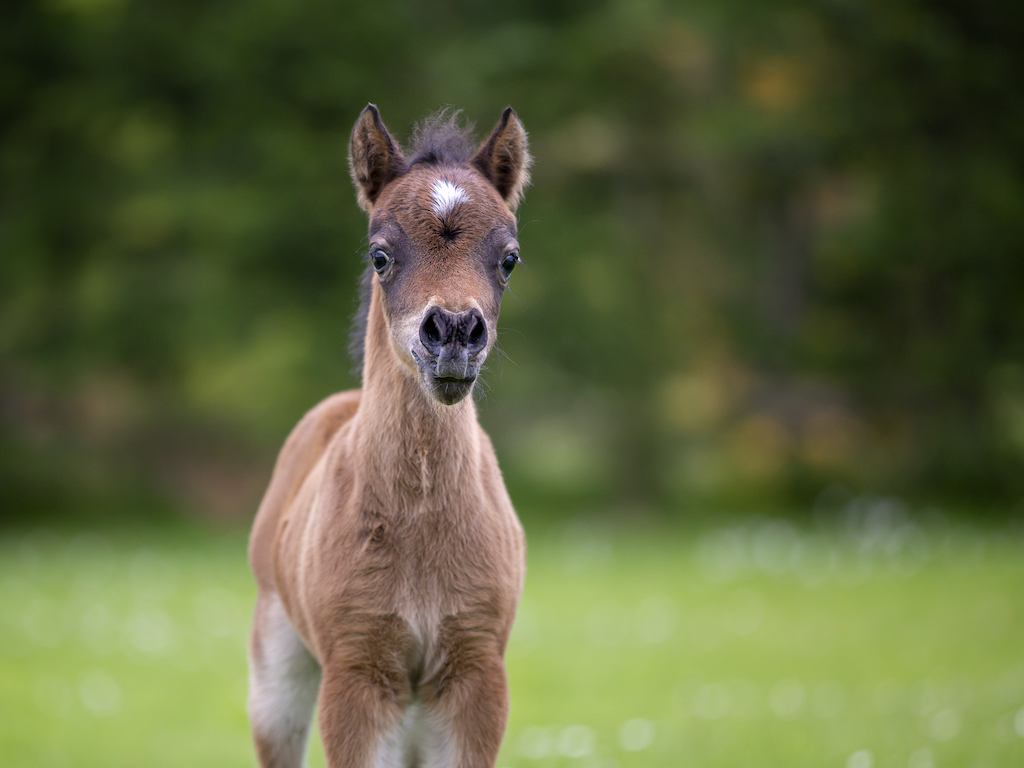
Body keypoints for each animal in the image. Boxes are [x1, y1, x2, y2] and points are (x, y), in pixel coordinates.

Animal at [246, 104, 531, 768]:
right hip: (277, 675)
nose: (453, 332)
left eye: (509, 258)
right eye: (380, 255)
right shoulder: (357, 673)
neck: (421, 525)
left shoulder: (477, 673)